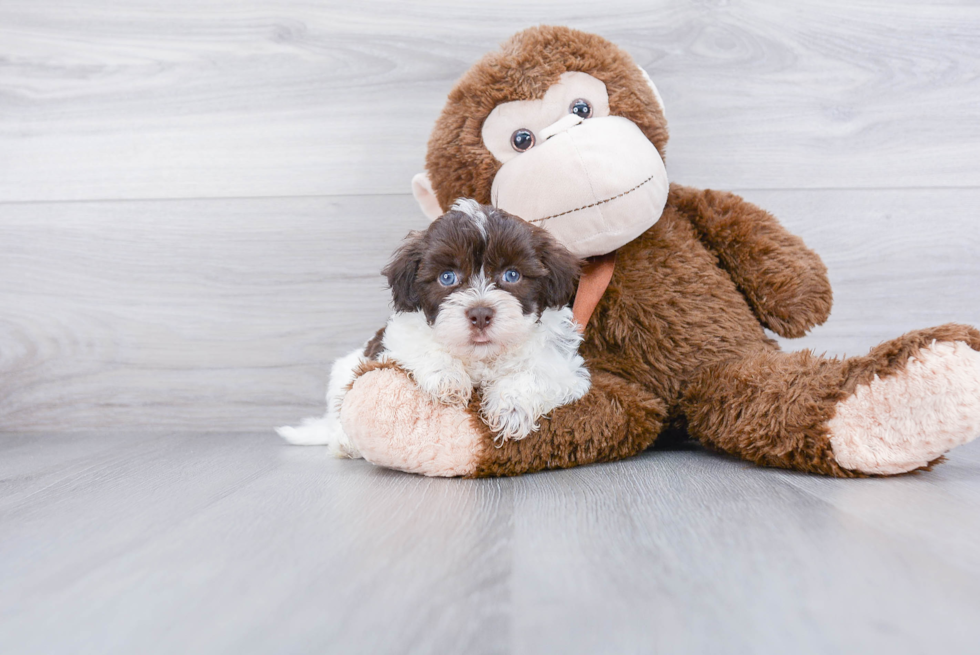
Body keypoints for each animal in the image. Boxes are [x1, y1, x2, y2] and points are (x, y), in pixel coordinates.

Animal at [276, 200, 588, 456]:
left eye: (512, 275)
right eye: (447, 277)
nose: (480, 314)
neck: (481, 357)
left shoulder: (565, 367)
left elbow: (538, 373)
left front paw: (510, 408)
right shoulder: (397, 339)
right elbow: (421, 346)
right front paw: (448, 377)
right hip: (345, 372)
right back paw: (344, 442)